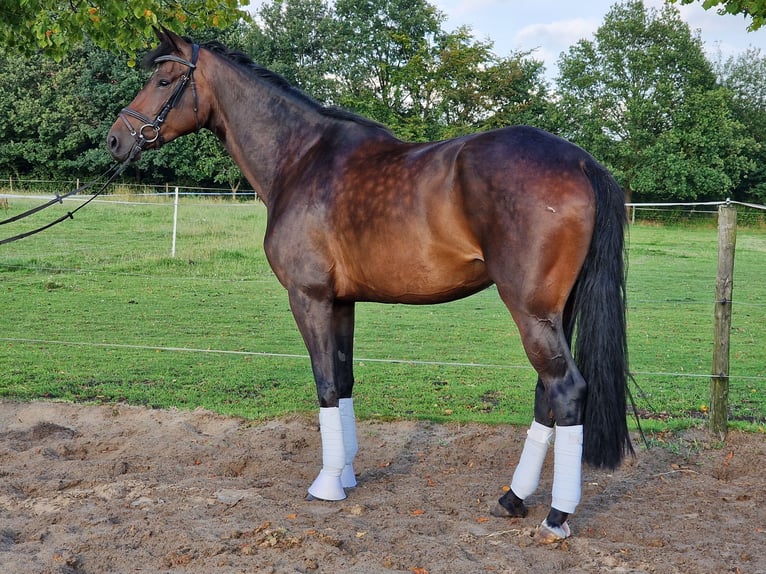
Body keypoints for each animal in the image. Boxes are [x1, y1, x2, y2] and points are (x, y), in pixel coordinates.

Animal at [109, 29, 636, 548]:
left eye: (163, 80)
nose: (116, 139)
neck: (300, 159)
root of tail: (582, 162)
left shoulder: (309, 297)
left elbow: (324, 383)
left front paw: (326, 485)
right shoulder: (341, 302)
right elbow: (343, 381)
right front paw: (345, 474)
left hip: (529, 310)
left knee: (565, 390)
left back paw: (556, 514)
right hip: (554, 312)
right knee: (546, 394)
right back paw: (513, 499)